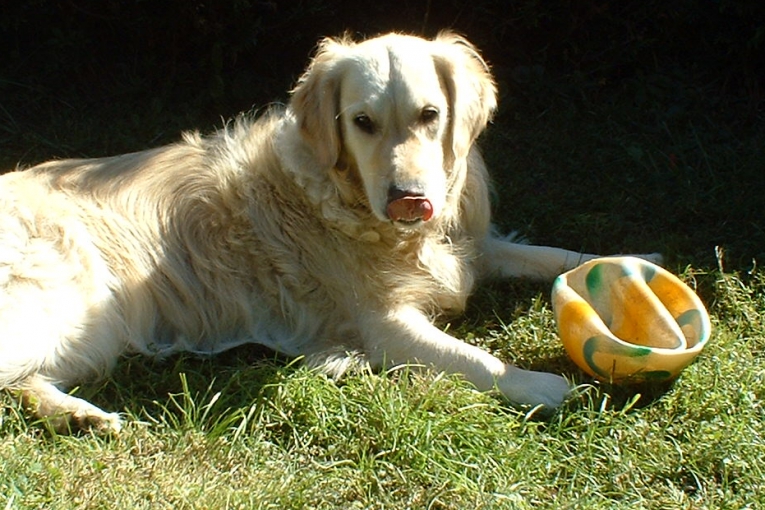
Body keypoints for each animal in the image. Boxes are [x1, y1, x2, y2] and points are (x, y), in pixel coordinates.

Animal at [0, 31, 656, 432]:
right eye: (362, 122)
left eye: (430, 115)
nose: (409, 201)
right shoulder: (384, 324)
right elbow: (472, 358)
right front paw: (542, 385)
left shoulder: (474, 247)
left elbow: (553, 255)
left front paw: (633, 260)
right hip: (75, 301)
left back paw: (78, 415)